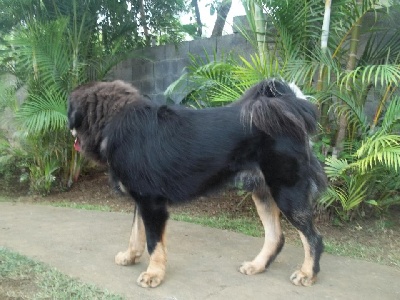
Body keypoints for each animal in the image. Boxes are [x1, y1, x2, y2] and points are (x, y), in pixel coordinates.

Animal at [68, 79, 324, 288]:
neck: (115, 122)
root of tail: (288, 108)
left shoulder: (152, 203)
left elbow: (153, 242)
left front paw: (154, 274)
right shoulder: (141, 200)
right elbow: (135, 233)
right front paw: (131, 256)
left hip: (287, 191)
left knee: (313, 238)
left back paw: (307, 274)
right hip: (263, 192)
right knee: (276, 237)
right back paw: (257, 265)